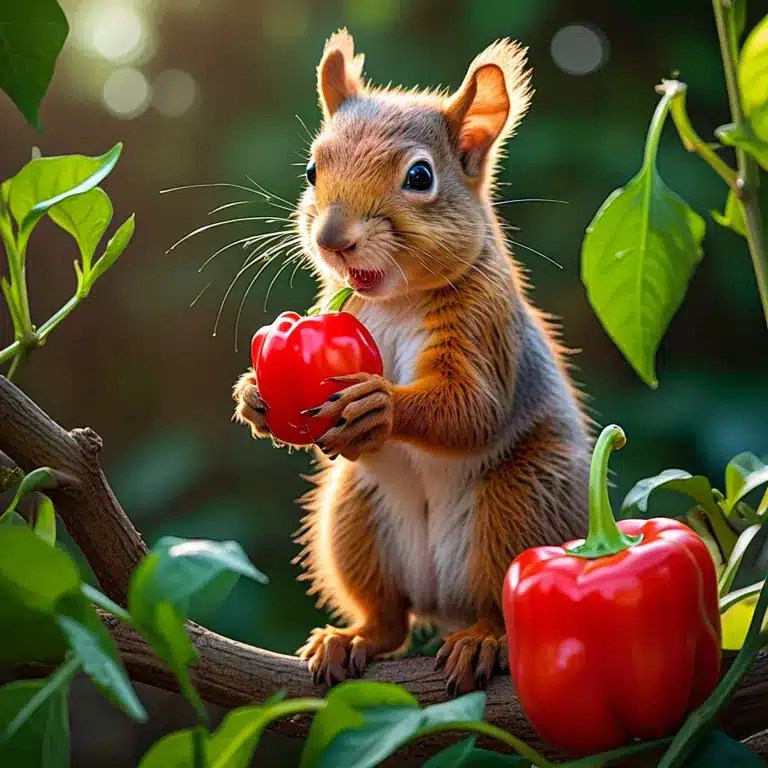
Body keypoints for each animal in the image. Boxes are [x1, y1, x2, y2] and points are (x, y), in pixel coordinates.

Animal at [233, 29, 590, 695]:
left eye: (420, 176)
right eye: (311, 168)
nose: (332, 239)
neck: (394, 301)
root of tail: (444, 604)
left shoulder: (484, 327)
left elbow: (471, 408)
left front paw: (380, 407)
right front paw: (253, 397)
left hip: (522, 503)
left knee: (498, 598)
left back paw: (483, 639)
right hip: (353, 516)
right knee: (389, 619)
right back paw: (351, 638)